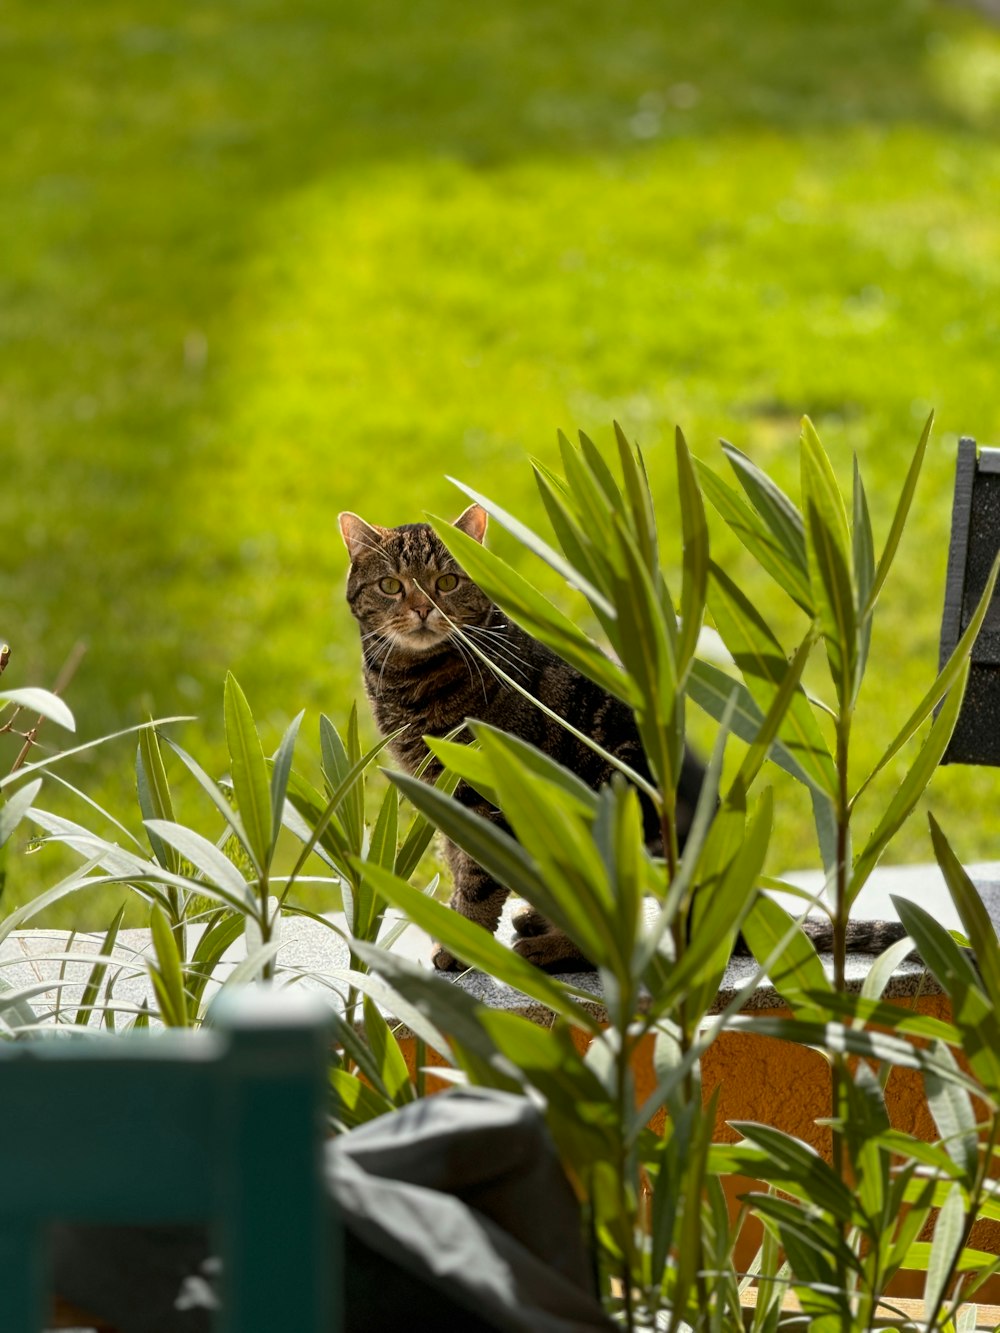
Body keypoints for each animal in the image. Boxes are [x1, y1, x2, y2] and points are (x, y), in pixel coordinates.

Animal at [341, 501, 709, 970]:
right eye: (390, 586)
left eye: (447, 582)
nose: (423, 609)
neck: (411, 683)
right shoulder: (441, 791)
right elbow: (458, 863)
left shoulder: (487, 796)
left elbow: (478, 879)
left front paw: (462, 942)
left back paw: (548, 948)